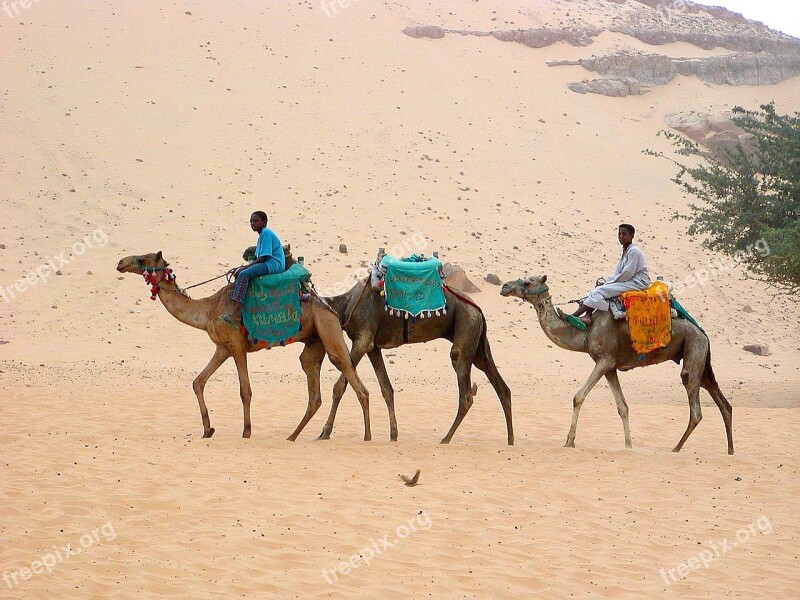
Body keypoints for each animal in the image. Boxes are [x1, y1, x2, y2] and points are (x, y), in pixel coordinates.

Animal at [116, 248, 372, 440]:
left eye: (143, 258)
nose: (120, 262)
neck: (209, 309)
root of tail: (330, 308)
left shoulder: (238, 346)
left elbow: (245, 391)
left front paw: (246, 431)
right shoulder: (222, 348)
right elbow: (198, 382)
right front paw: (208, 429)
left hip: (329, 331)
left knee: (355, 381)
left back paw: (366, 437)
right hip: (314, 342)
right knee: (314, 390)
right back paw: (292, 436)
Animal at [318, 270, 512, 442]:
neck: (346, 303)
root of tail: (478, 310)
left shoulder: (362, 340)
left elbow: (339, 387)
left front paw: (325, 432)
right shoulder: (373, 347)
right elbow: (386, 389)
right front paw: (393, 435)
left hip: (466, 324)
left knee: (465, 393)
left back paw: (446, 439)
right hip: (478, 343)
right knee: (502, 387)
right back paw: (510, 440)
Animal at [504, 276, 736, 454]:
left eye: (527, 281)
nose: (505, 286)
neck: (585, 332)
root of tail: (704, 333)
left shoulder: (604, 360)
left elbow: (578, 397)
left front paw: (569, 441)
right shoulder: (610, 366)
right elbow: (622, 407)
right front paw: (628, 445)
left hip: (694, 349)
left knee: (695, 406)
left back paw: (676, 448)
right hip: (701, 359)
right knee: (721, 400)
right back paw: (730, 450)